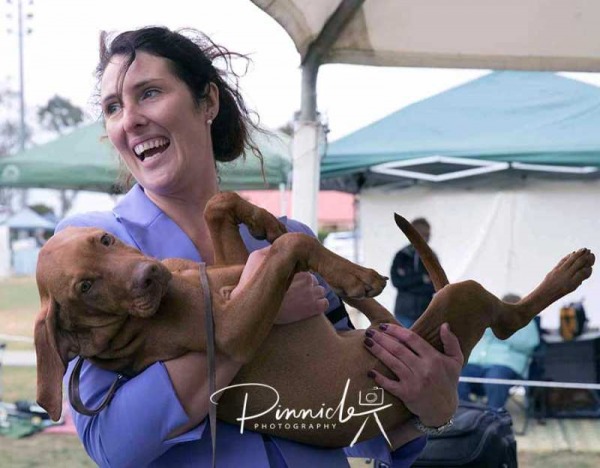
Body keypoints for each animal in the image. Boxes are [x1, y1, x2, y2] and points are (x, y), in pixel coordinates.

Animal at [34, 192, 596, 448]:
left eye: (105, 239)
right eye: (84, 287)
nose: (151, 276)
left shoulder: (236, 269)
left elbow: (224, 207)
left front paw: (263, 216)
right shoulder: (234, 328)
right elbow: (293, 246)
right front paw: (354, 274)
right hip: (462, 305)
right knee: (507, 318)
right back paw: (568, 272)